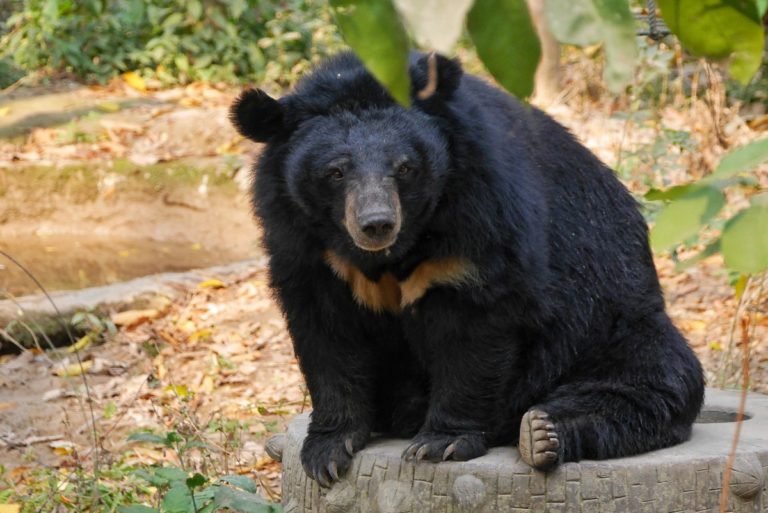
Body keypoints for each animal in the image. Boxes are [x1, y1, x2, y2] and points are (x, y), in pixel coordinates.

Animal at [231, 54, 704, 486]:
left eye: (405, 167)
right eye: (335, 172)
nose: (377, 223)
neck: (394, 251)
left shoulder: (479, 219)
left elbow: (474, 330)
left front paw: (441, 443)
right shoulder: (306, 247)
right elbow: (327, 335)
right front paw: (328, 451)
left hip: (610, 324)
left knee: (651, 382)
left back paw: (541, 434)